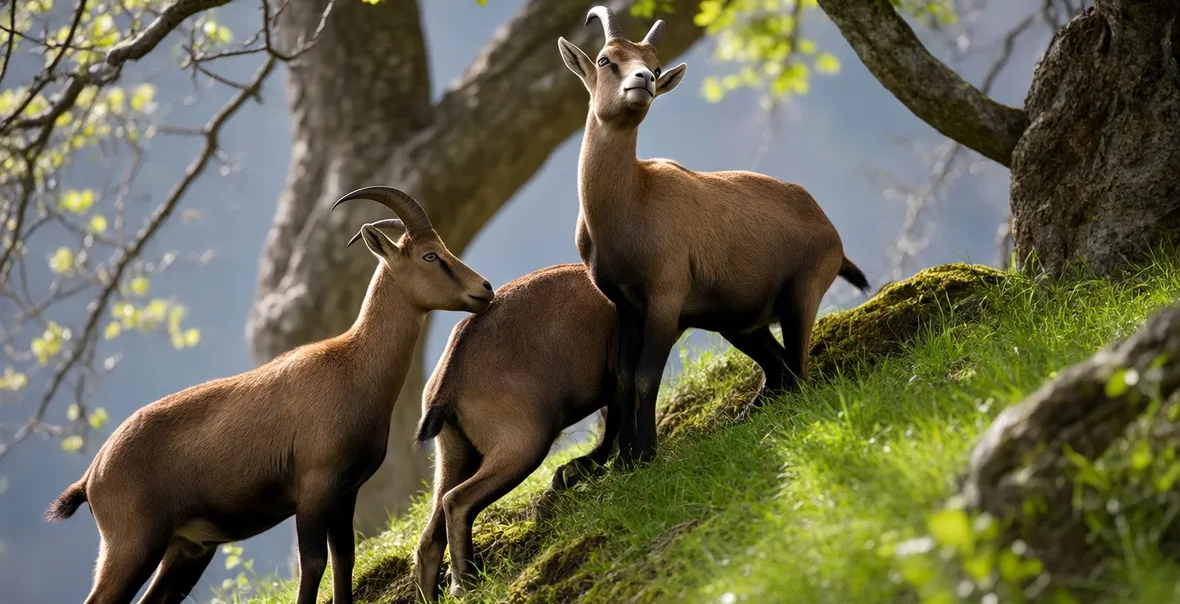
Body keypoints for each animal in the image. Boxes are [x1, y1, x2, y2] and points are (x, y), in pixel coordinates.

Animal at [43, 186, 494, 604]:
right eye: (430, 256)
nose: (484, 289)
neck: (352, 367)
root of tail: (93, 475)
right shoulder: (315, 485)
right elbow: (314, 562)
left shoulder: (346, 491)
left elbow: (343, 559)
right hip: (133, 545)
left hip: (186, 549)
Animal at [412, 263, 620, 601]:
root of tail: (447, 384)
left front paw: (573, 472)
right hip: (523, 444)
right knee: (456, 502)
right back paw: (464, 583)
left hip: (455, 454)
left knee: (430, 535)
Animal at [557, 6, 872, 467]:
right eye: (605, 59)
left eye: (655, 66)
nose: (643, 81)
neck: (631, 201)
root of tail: (830, 230)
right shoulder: (625, 304)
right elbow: (625, 376)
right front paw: (626, 460)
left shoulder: (666, 298)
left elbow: (646, 377)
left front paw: (646, 455)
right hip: (738, 322)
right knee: (777, 369)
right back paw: (747, 413)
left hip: (801, 294)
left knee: (798, 369)